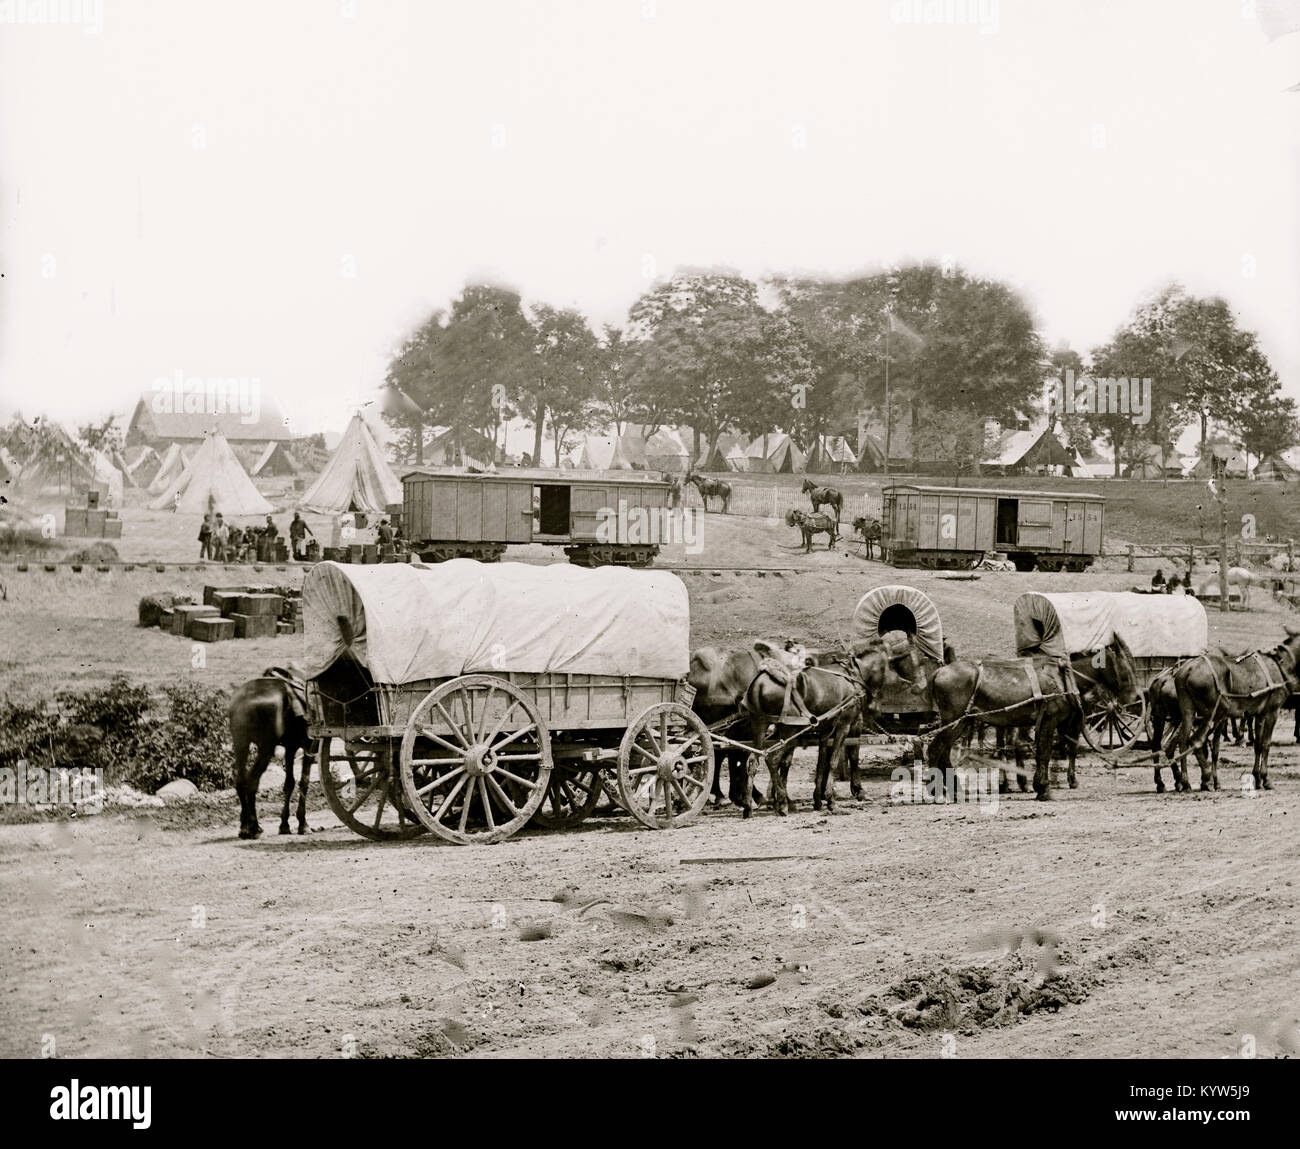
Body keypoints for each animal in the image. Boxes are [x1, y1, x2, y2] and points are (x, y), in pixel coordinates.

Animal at [228, 670, 314, 837]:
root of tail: (245, 701)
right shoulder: (311, 745)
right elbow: (304, 782)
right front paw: (303, 824)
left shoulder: (291, 747)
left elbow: (289, 783)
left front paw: (284, 825)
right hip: (265, 748)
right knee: (252, 780)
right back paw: (253, 827)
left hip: (241, 743)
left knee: (240, 779)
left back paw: (244, 827)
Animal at [925, 636, 1138, 800]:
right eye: (1126, 665)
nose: (1135, 698)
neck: (1064, 678)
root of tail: (940, 671)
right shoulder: (1050, 720)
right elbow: (1045, 752)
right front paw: (1044, 788)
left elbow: (1047, 751)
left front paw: (1040, 785)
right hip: (955, 722)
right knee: (936, 749)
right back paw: (937, 791)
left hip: (961, 722)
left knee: (944, 752)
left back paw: (954, 789)